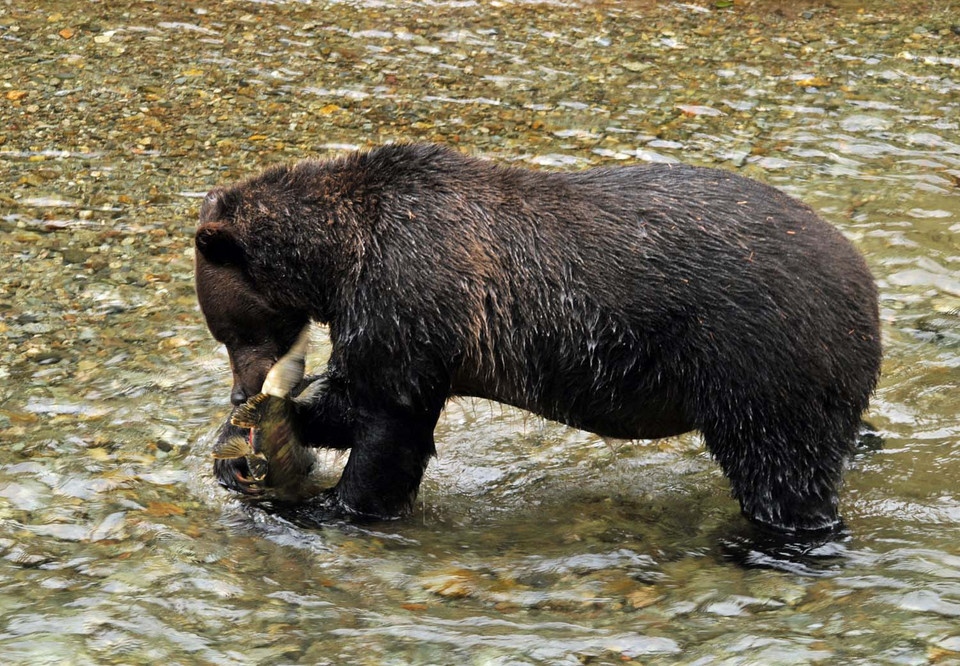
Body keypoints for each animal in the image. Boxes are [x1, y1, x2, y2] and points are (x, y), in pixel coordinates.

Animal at [193, 144, 876, 536]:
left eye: (230, 332)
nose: (240, 390)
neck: (338, 261)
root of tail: (864, 282)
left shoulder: (409, 297)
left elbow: (389, 426)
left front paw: (332, 505)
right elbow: (353, 401)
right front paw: (249, 444)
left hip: (759, 359)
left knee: (779, 469)